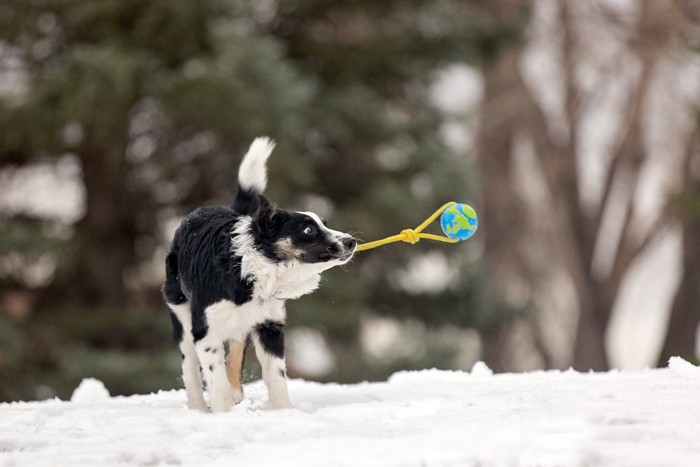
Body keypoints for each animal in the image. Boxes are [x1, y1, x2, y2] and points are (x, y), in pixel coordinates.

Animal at [160, 137, 356, 412]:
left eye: (324, 224)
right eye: (308, 230)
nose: (351, 241)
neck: (251, 270)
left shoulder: (269, 325)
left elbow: (276, 377)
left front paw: (284, 412)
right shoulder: (205, 329)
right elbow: (214, 377)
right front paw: (222, 412)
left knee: (235, 350)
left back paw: (235, 394)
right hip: (180, 311)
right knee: (189, 363)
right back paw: (199, 406)